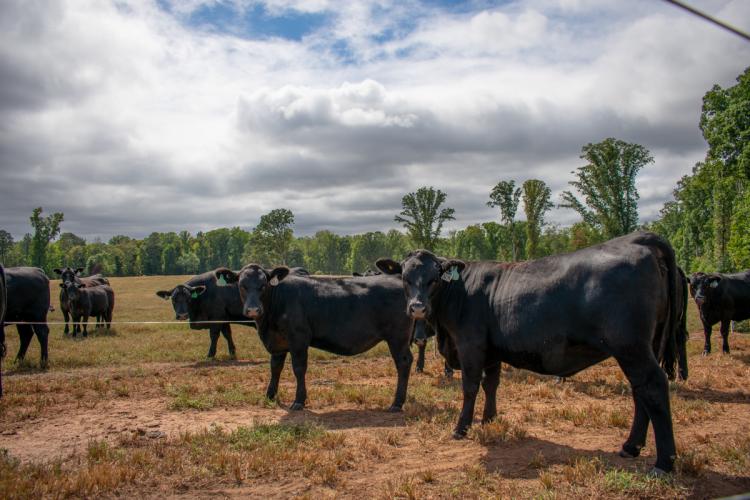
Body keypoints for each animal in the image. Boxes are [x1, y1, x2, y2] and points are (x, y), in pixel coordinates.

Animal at [215, 265, 415, 412]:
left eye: (263, 285)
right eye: (242, 285)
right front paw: (270, 396)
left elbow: (298, 368)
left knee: (403, 362)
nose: (253, 310)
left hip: (398, 337)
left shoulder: (298, 338)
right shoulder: (278, 342)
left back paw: (396, 403)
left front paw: (298, 401)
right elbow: (275, 368)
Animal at [377, 232, 682, 475]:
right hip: (644, 347)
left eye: (433, 278)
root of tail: (636, 238)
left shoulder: (470, 345)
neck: (460, 292)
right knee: (640, 391)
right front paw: (489, 419)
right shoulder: (492, 351)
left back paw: (663, 463)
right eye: (405, 278)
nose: (417, 307)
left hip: (631, 347)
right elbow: (491, 384)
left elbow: (470, 386)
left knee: (654, 387)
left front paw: (461, 427)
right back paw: (631, 446)